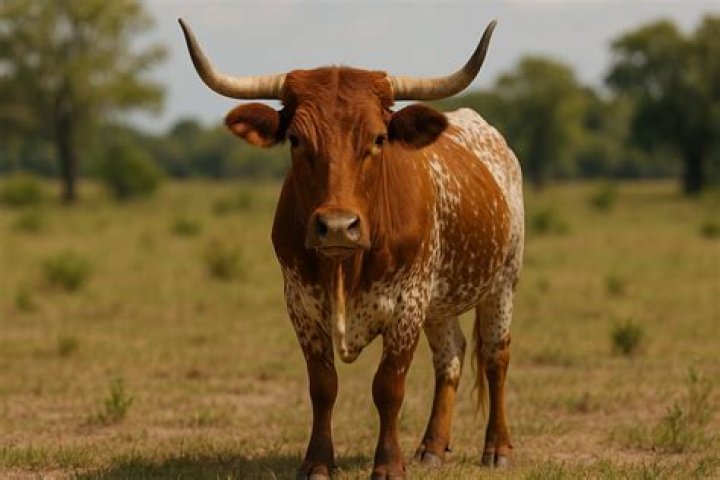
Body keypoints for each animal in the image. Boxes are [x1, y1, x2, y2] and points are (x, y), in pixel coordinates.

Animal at [179, 18, 524, 479]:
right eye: (295, 139)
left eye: (379, 139)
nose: (338, 227)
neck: (346, 266)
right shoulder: (301, 306)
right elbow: (323, 387)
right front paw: (317, 462)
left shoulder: (407, 305)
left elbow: (388, 387)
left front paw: (389, 464)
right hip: (441, 302)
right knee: (450, 356)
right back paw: (432, 446)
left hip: (503, 280)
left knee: (495, 357)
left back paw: (498, 449)